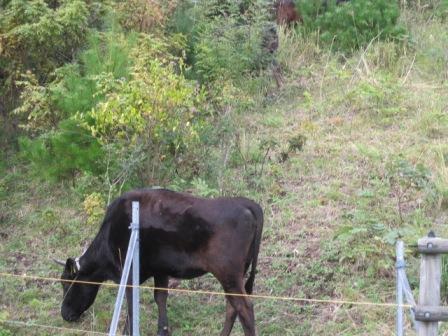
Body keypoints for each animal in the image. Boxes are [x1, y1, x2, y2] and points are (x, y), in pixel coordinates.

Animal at [55, 189, 262, 336]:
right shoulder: (161, 270)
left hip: (227, 273)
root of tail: (245, 202)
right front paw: (162, 330)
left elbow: (131, 305)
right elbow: (160, 297)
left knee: (244, 308)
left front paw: (127, 331)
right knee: (232, 306)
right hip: (236, 274)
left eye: (66, 283)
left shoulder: (128, 274)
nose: (64, 314)